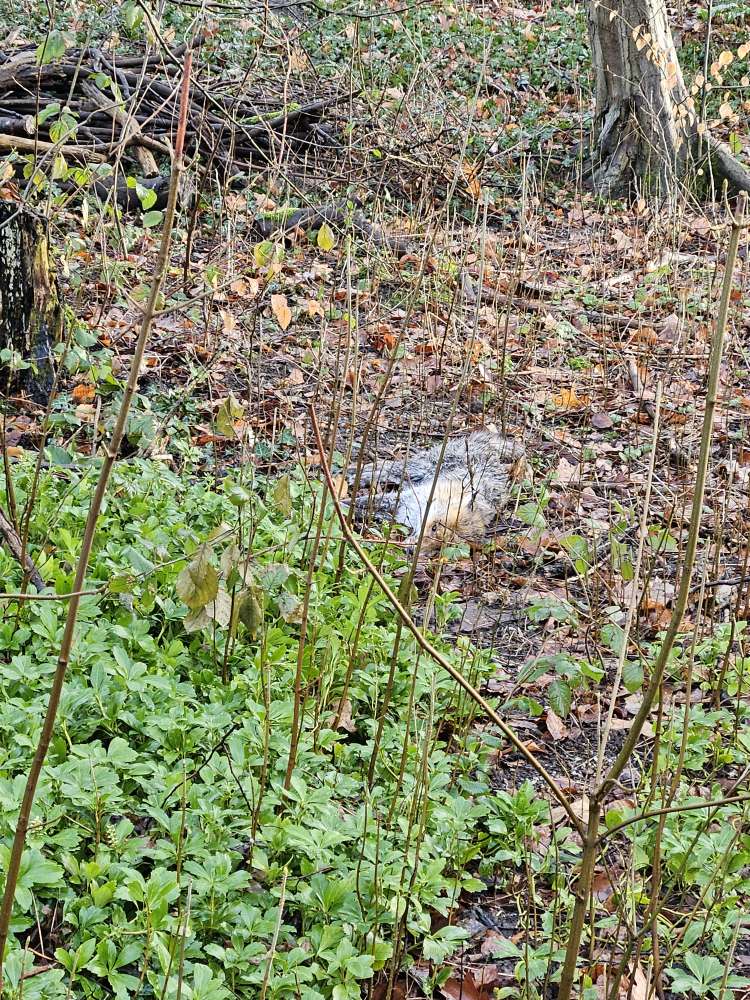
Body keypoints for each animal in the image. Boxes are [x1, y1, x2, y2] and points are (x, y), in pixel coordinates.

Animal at [349, 430, 525, 549]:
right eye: (434, 527)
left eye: (439, 546)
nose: (410, 551)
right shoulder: (407, 498)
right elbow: (358, 502)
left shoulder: (401, 511)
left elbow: (368, 511)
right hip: (419, 469)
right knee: (388, 466)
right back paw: (358, 473)